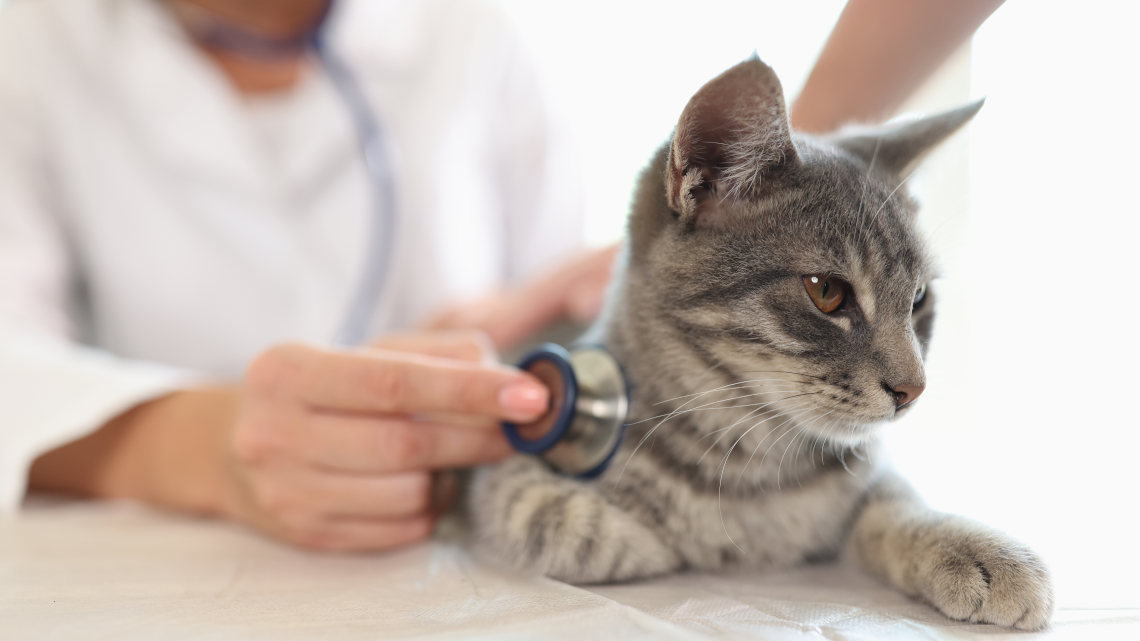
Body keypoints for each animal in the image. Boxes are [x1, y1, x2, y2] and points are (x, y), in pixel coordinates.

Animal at [467, 58, 1053, 629]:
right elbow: (543, 514)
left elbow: (895, 505)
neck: (756, 469)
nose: (914, 389)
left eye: (919, 299)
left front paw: (978, 549)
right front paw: (640, 537)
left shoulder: (863, 480)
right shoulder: (499, 463)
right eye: (826, 292)